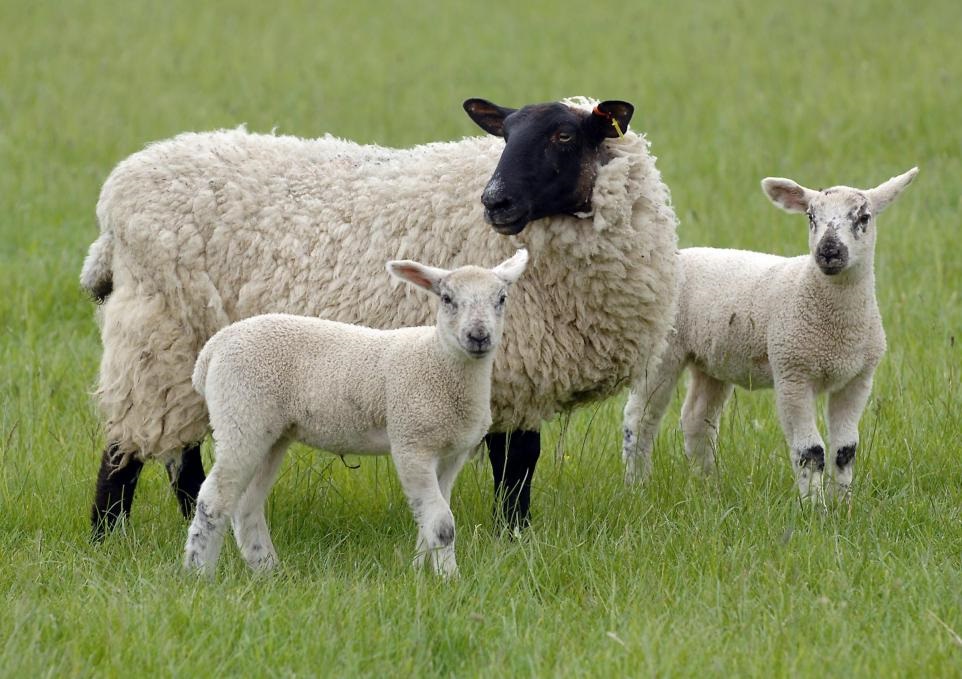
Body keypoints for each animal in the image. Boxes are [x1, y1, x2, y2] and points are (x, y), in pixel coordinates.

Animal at [82, 96, 680, 537]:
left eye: (564, 137)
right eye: (505, 136)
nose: (495, 202)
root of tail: (116, 197)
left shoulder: (515, 373)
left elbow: (518, 463)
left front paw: (515, 533)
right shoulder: (511, 365)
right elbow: (516, 463)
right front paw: (514, 535)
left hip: (186, 350)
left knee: (177, 452)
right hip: (157, 332)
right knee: (124, 450)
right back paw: (107, 538)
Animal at [184, 250, 528, 577]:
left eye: (501, 298)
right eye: (447, 298)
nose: (478, 336)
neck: (437, 361)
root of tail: (212, 349)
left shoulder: (451, 453)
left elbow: (428, 522)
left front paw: (419, 572)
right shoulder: (411, 443)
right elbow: (442, 523)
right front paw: (449, 579)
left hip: (270, 433)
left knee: (246, 505)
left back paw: (268, 571)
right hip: (241, 416)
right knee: (214, 499)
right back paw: (199, 574)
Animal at [622, 168, 918, 501]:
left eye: (864, 217)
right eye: (810, 216)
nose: (828, 252)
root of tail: (677, 257)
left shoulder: (858, 379)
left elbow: (845, 450)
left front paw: (843, 504)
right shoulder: (792, 372)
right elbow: (811, 451)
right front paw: (813, 508)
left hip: (712, 360)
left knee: (696, 419)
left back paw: (708, 486)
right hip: (663, 349)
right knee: (640, 418)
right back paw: (636, 485)